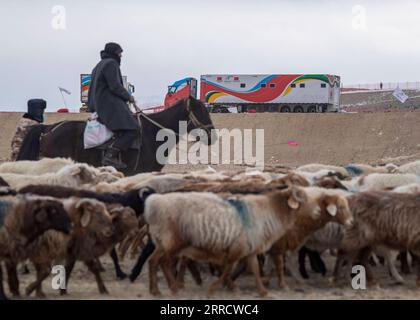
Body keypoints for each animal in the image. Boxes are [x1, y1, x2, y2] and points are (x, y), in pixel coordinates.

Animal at [144, 186, 324, 296]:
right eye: (302, 199)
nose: (318, 211)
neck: (270, 211)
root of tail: (154, 203)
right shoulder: (238, 247)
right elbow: (228, 268)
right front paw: (216, 288)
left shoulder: (250, 249)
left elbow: (254, 269)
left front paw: (263, 291)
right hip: (173, 241)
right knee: (164, 263)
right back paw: (173, 288)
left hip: (161, 242)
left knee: (153, 261)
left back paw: (155, 291)